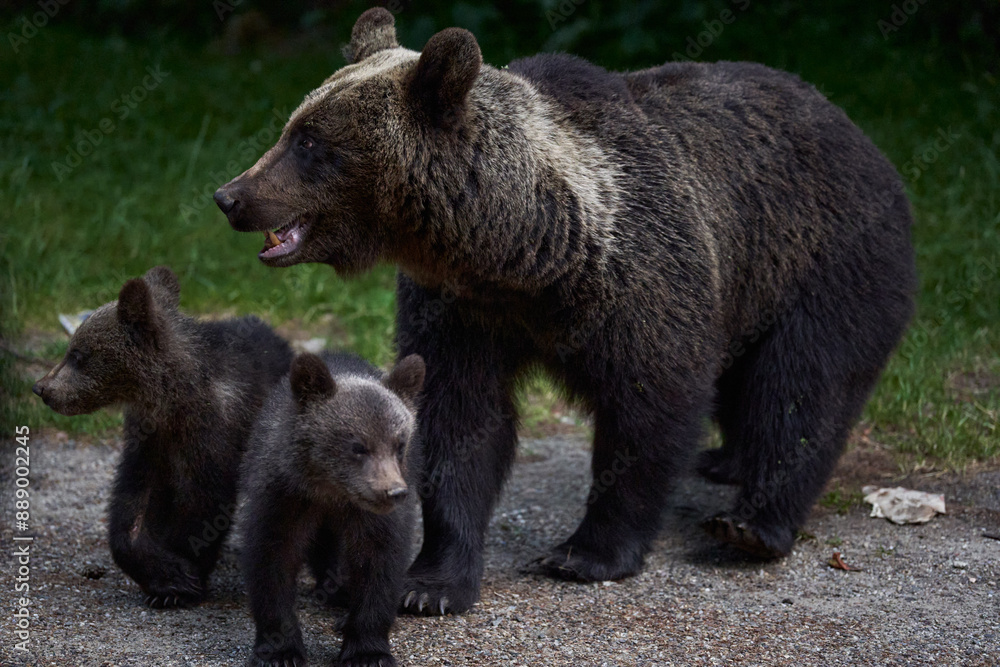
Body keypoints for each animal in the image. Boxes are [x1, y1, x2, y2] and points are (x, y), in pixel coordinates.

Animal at [32, 266, 293, 607]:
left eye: (77, 355)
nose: (41, 388)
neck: (170, 400)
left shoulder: (214, 434)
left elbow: (204, 503)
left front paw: (182, 577)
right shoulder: (149, 439)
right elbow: (132, 505)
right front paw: (166, 577)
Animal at [213, 8, 916, 616]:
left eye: (310, 142)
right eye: (293, 127)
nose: (231, 195)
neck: (523, 250)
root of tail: (859, 132)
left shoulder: (645, 279)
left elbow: (650, 411)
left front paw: (586, 553)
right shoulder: (460, 309)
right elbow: (459, 421)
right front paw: (432, 581)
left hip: (822, 259)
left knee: (801, 382)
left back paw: (753, 522)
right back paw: (726, 461)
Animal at [239, 351, 424, 667]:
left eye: (399, 444)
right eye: (358, 446)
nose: (394, 491)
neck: (331, 491)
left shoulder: (374, 517)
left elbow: (379, 563)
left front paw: (367, 651)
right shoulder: (283, 496)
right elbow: (273, 559)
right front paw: (280, 651)